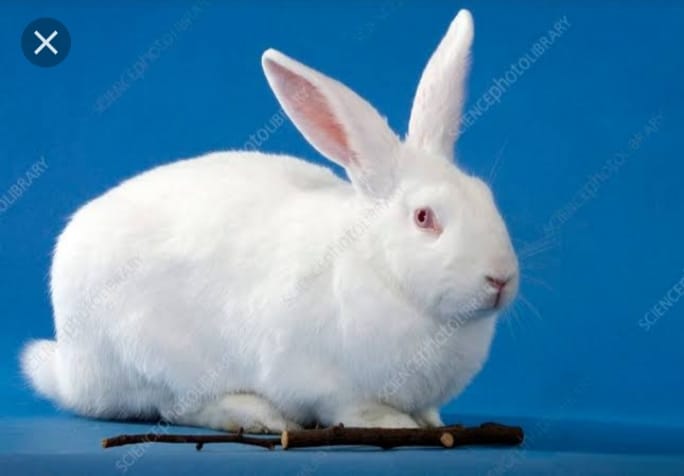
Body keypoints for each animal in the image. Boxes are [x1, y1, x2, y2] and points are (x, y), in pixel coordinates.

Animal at [21, 9, 518, 433]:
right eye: (424, 217)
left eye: (487, 197)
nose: (501, 279)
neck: (381, 271)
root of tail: (72, 370)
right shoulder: (321, 380)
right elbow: (353, 407)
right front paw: (396, 424)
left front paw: (432, 422)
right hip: (154, 357)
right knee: (176, 406)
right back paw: (258, 416)